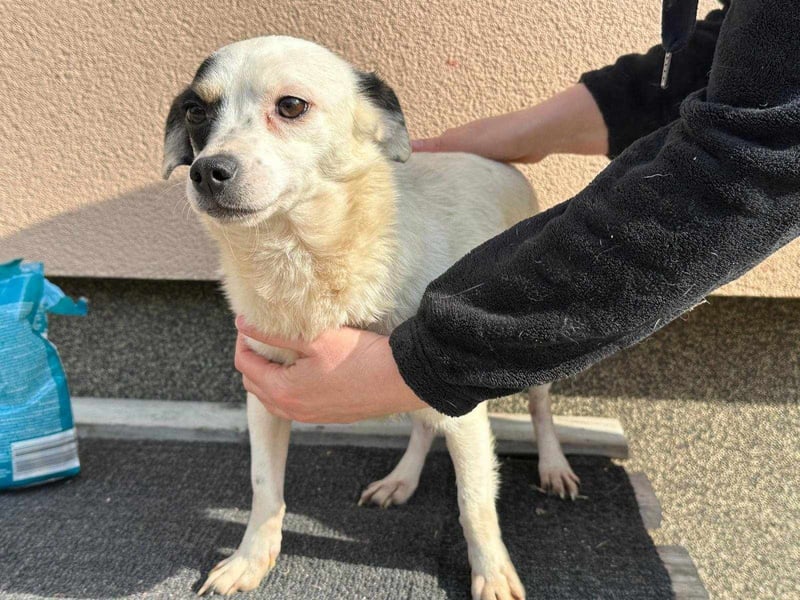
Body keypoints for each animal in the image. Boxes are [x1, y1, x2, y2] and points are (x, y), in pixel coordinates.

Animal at [163, 36, 579, 599]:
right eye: (195, 111)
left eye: (290, 105)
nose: (207, 171)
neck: (304, 254)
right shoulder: (265, 390)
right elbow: (264, 486)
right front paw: (251, 560)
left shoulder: (453, 385)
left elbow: (474, 504)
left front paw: (492, 574)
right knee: (423, 424)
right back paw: (401, 478)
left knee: (538, 409)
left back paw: (554, 465)